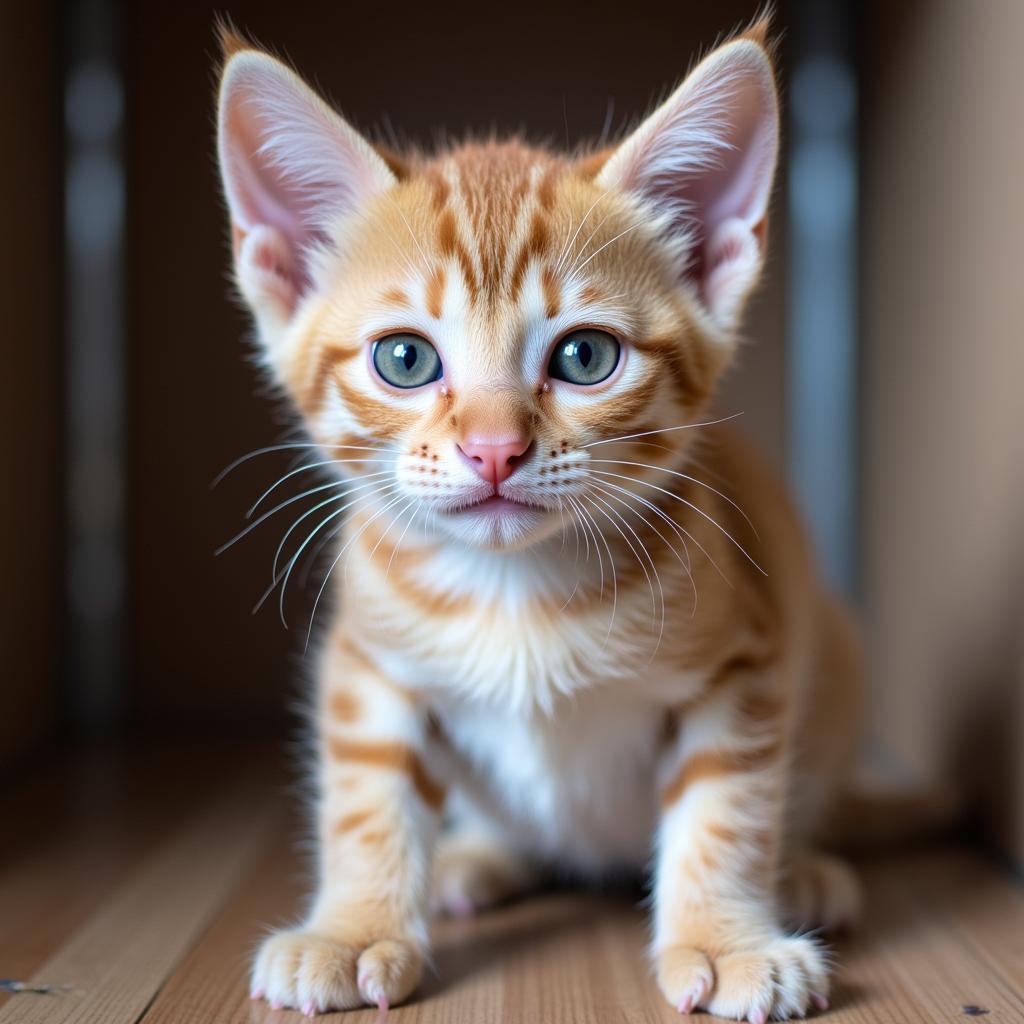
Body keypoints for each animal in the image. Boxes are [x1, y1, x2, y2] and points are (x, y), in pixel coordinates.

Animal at [218, 18, 864, 1024]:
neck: (514, 592)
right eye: (404, 359)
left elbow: (726, 810)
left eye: (585, 357)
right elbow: (366, 797)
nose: (493, 449)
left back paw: (803, 873)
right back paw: (475, 859)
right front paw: (354, 930)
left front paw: (728, 940)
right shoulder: (369, 664)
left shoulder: (746, 665)